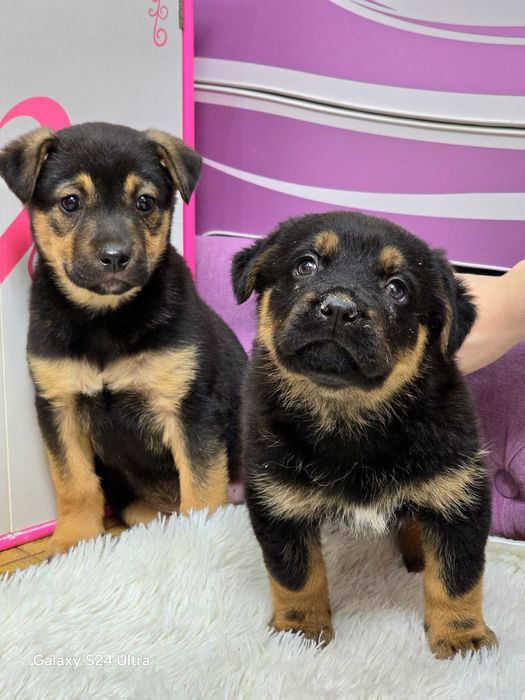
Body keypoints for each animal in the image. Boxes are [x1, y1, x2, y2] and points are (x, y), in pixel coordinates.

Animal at [0, 122, 247, 555]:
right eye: (70, 202)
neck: (105, 318)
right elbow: (74, 483)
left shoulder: (191, 408)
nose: (115, 257)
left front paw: (199, 541)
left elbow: (201, 486)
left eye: (144, 202)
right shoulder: (58, 405)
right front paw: (72, 543)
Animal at [231, 210, 497, 659]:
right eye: (306, 265)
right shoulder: (277, 500)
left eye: (397, 288)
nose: (339, 308)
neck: (348, 413)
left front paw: (462, 637)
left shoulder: (458, 495)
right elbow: (296, 575)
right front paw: (301, 629)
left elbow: (456, 578)